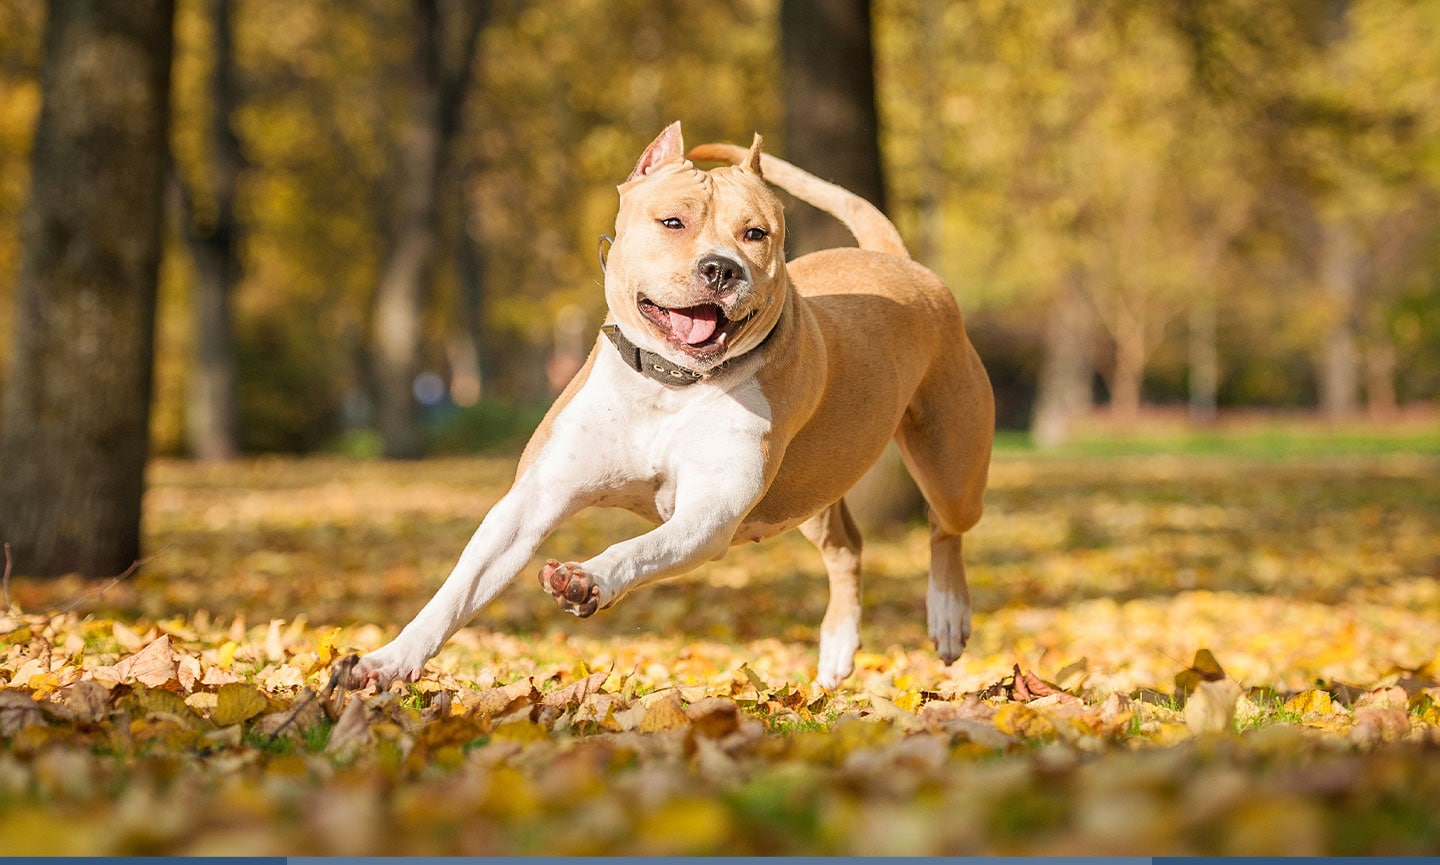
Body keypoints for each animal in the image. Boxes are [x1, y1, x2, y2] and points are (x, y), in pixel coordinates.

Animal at [344, 123, 996, 687]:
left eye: (755, 234)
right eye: (672, 222)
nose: (720, 268)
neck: (670, 384)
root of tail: (898, 261)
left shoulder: (707, 511)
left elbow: (639, 549)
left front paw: (587, 579)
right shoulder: (532, 502)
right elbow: (457, 590)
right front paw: (388, 661)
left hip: (951, 468)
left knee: (944, 527)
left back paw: (947, 615)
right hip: (810, 488)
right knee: (847, 546)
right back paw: (837, 647)